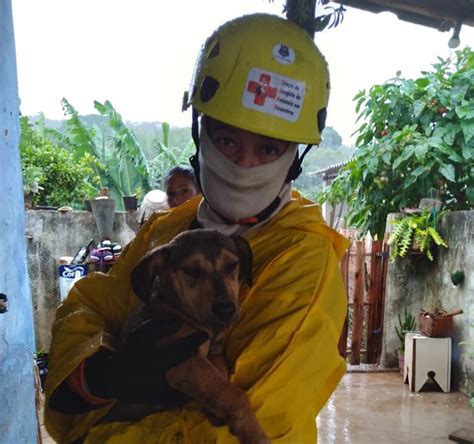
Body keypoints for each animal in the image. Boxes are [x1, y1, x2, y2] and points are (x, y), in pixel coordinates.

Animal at [102, 229, 268, 444]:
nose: (226, 310)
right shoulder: (185, 361)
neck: (179, 311)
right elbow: (234, 394)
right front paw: (253, 432)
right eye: (190, 270)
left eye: (232, 265)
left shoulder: (213, 354)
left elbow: (220, 377)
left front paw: (214, 410)